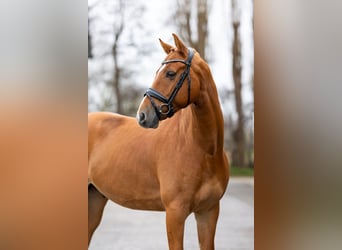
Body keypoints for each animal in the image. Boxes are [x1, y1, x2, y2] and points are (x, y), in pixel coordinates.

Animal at [88, 33, 228, 250]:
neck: (204, 151)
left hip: (94, 200)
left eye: (170, 73)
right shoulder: (174, 213)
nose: (143, 115)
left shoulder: (209, 212)